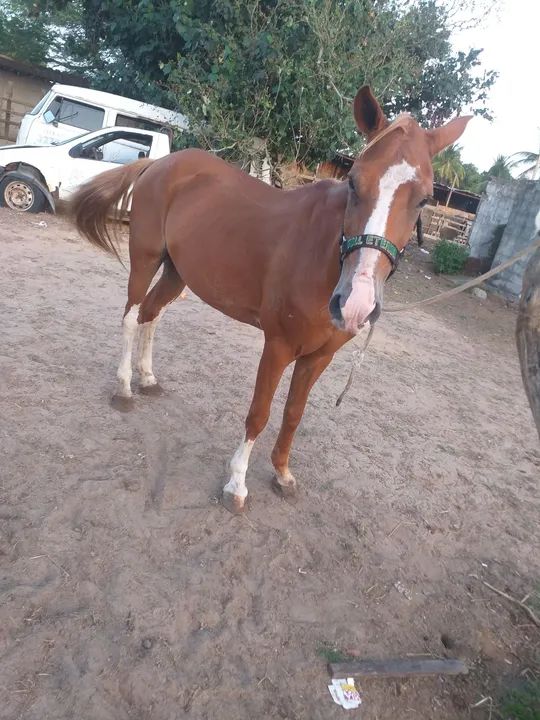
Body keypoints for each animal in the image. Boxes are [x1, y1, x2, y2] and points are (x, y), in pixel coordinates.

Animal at [70, 86, 471, 513]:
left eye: (424, 199)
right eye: (353, 182)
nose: (355, 304)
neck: (320, 256)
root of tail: (161, 163)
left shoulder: (318, 357)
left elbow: (293, 413)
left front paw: (282, 474)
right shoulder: (277, 346)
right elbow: (259, 414)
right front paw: (237, 485)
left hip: (178, 271)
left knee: (151, 313)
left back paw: (147, 378)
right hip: (145, 259)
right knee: (132, 316)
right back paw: (124, 388)